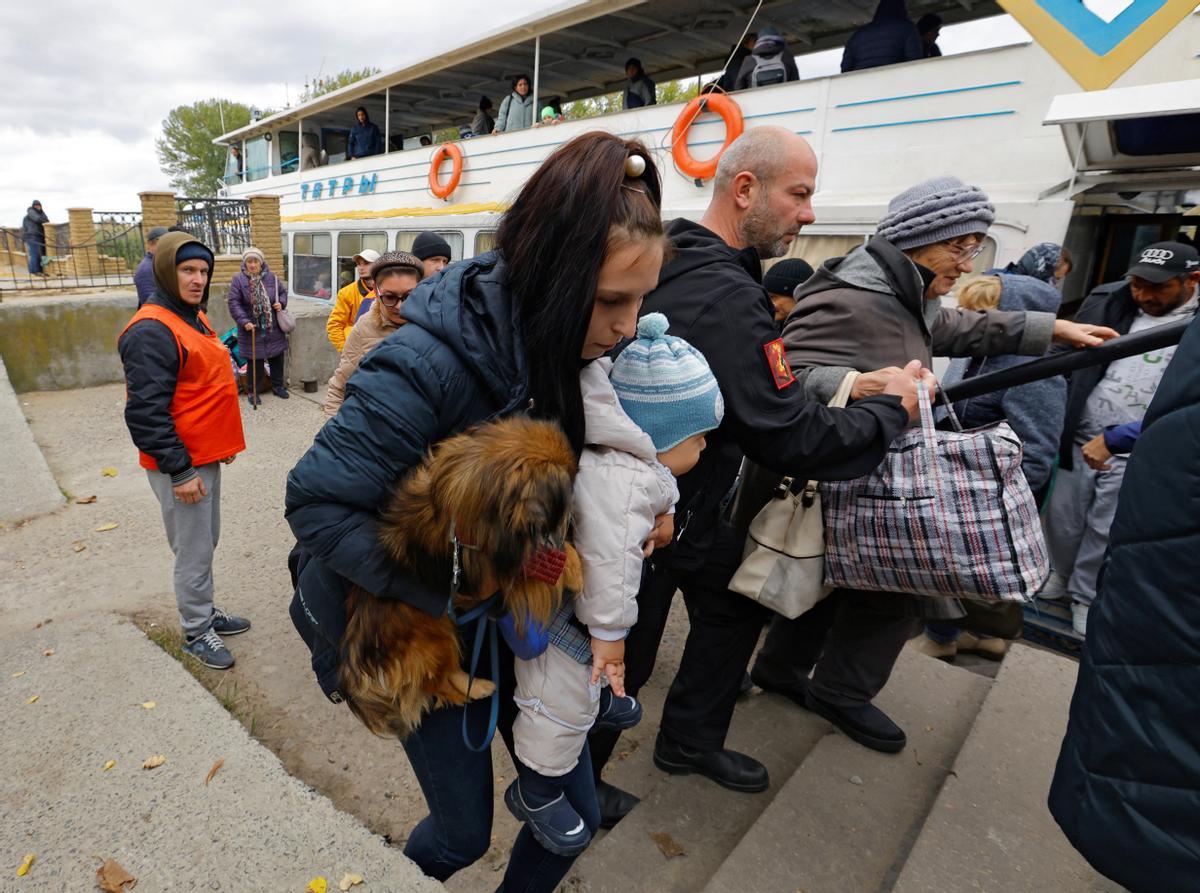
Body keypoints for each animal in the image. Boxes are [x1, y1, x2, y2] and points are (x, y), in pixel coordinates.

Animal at [340, 417, 583, 739]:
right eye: (566, 492)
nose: (573, 517)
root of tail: (358, 638)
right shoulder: (496, 569)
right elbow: (538, 566)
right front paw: (575, 572)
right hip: (434, 635)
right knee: (435, 683)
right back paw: (474, 690)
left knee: (445, 674)